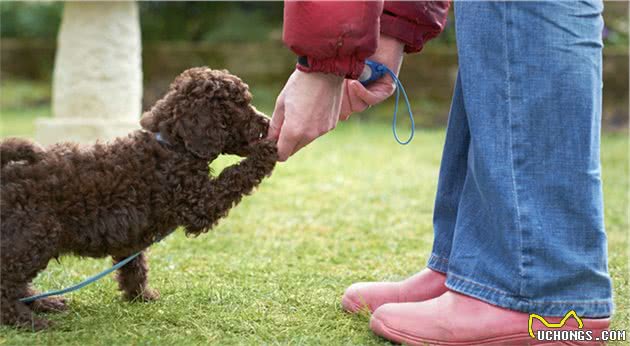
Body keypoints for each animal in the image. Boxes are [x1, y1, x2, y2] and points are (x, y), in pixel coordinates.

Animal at [0, 67, 278, 330]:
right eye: (238, 105)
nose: (267, 122)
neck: (173, 145)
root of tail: (6, 173)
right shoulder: (198, 203)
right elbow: (234, 175)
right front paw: (267, 150)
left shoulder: (130, 235)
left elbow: (135, 265)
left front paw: (140, 295)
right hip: (34, 236)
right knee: (7, 282)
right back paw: (27, 320)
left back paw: (44, 303)